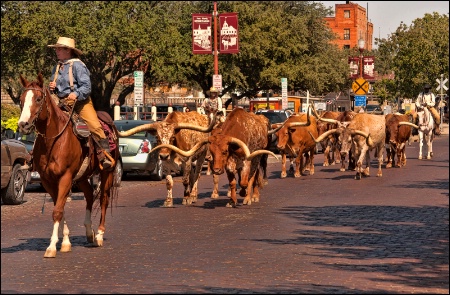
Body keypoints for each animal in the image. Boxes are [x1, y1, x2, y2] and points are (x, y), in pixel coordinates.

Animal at [17, 73, 119, 260]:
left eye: (38, 98)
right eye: (21, 100)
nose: (23, 125)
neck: (53, 141)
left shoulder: (65, 177)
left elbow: (57, 210)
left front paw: (51, 247)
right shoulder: (48, 181)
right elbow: (60, 207)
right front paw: (65, 242)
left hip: (106, 172)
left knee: (103, 199)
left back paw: (99, 235)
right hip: (82, 177)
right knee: (89, 195)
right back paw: (89, 232)